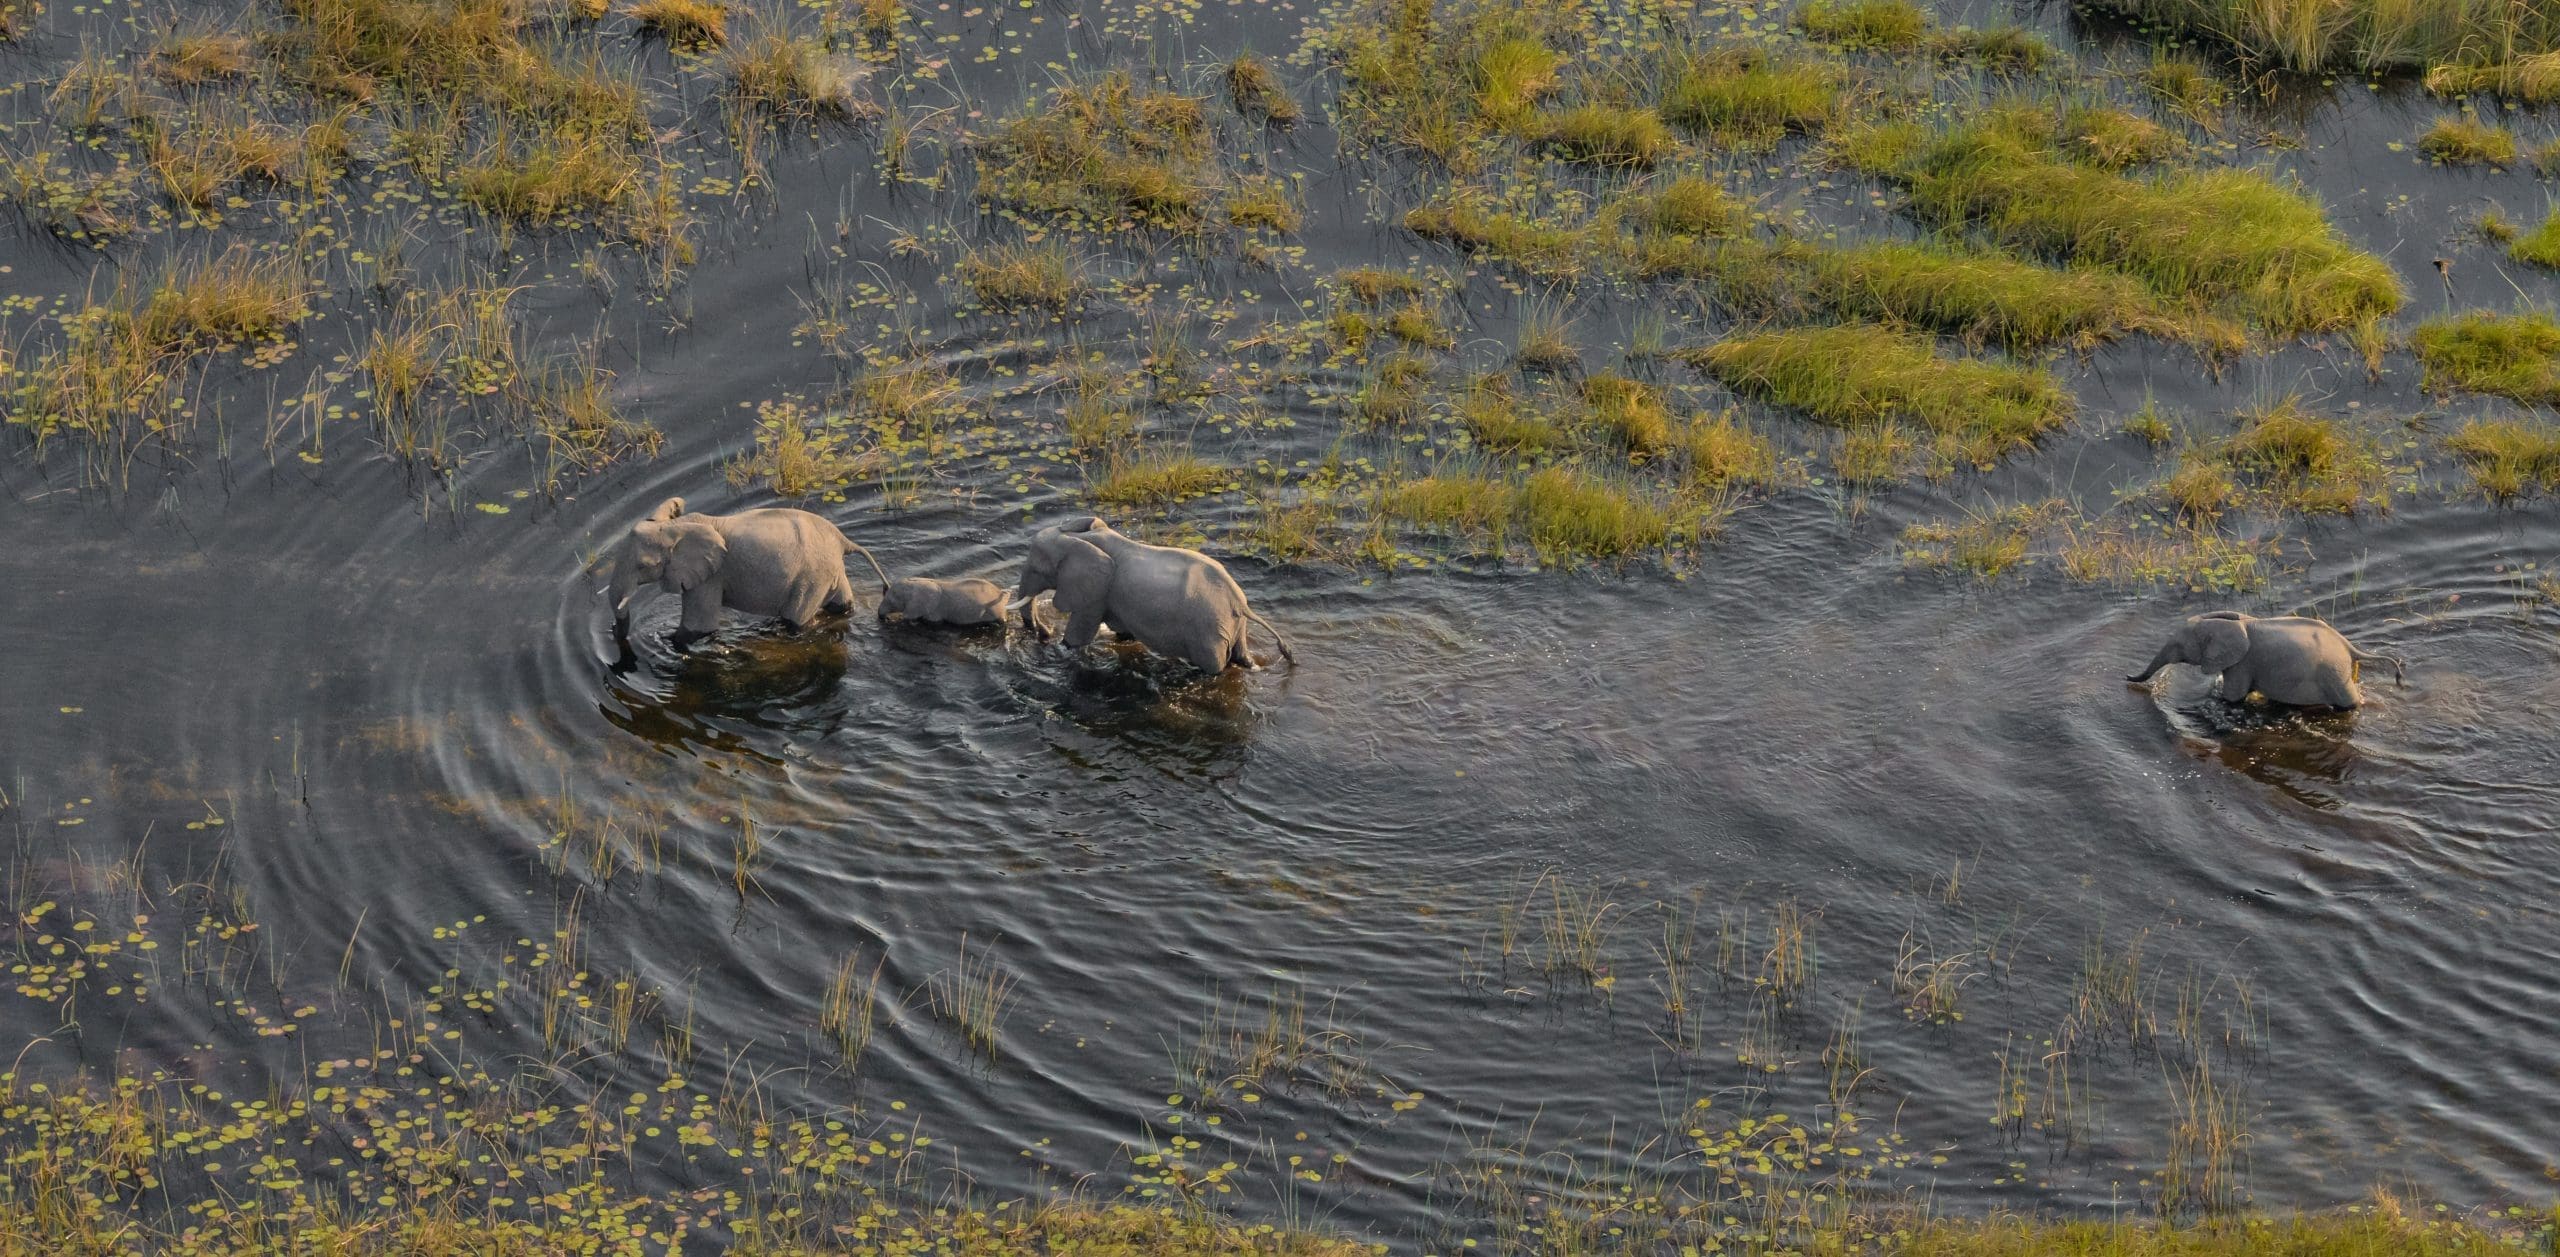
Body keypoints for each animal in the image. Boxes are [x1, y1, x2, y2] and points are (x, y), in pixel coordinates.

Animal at [602, 497, 889, 651]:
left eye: (643, 566)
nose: (614, 634)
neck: (676, 525)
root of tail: (842, 539)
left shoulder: (709, 576)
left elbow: (700, 626)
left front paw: (665, 640)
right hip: (829, 571)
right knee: (841, 604)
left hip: (811, 577)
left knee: (795, 620)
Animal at [1014, 516, 1294, 674]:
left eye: (1037, 568)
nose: (1044, 631)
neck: (1079, 537)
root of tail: (1240, 603)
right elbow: (1123, 635)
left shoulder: (1096, 593)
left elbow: (1077, 638)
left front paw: (1062, 647)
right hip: (1232, 626)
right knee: (1241, 657)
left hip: (1208, 632)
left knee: (1215, 669)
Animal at [2126, 611, 2405, 710]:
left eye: (2178, 646)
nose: (2127, 677)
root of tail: (2349, 646)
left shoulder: (2242, 663)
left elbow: (2233, 697)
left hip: (2333, 674)